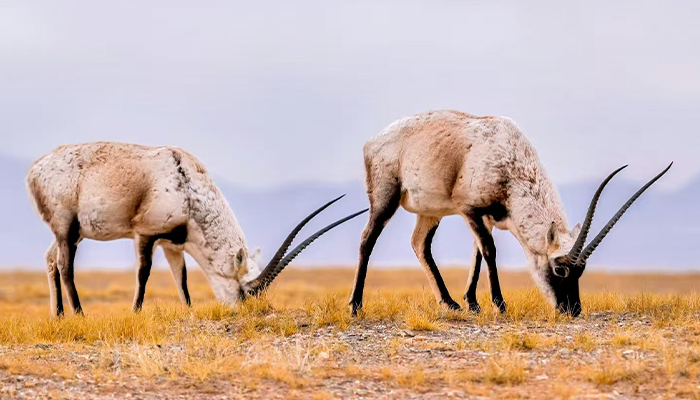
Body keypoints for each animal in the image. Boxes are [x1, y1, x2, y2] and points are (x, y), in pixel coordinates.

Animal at [26, 142, 367, 317]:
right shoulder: (145, 234)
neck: (187, 184)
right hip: (67, 227)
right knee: (65, 265)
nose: (240, 311)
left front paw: (188, 311)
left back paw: (59, 315)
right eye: (247, 291)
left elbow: (182, 279)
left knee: (50, 259)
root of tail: (35, 169)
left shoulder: (172, 244)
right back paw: (79, 313)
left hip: (71, 232)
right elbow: (143, 273)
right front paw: (136, 312)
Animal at [349, 110, 671, 317]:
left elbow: (477, 254)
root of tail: (372, 142)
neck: (512, 162)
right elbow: (489, 251)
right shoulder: (469, 209)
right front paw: (499, 304)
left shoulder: (487, 218)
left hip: (430, 211)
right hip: (386, 198)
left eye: (581, 271)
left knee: (419, 244)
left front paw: (472, 303)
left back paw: (449, 303)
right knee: (367, 239)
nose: (573, 310)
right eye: (560, 270)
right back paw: (355, 305)